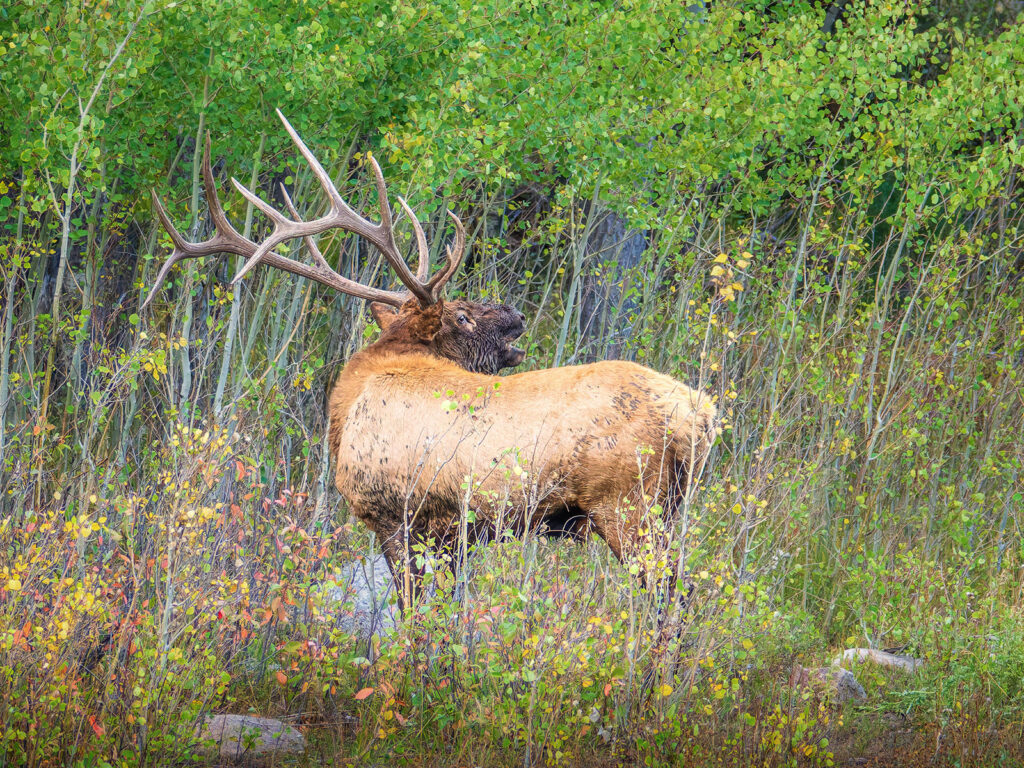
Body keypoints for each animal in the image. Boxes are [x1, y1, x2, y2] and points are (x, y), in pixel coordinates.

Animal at [145, 110, 720, 610]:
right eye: (462, 316)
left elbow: (412, 612)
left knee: (674, 598)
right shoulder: (450, 536)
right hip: (663, 508)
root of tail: (701, 413)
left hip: (627, 504)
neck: (346, 408)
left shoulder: (396, 518)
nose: (515, 314)